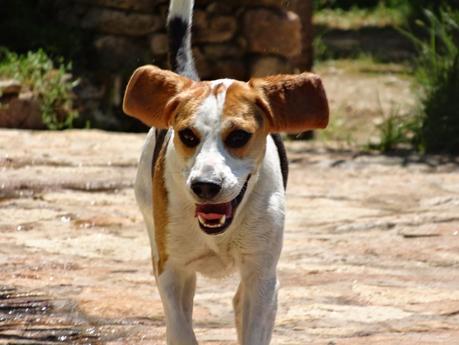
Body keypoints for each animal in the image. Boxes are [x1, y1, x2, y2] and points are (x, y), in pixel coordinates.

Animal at [123, 1, 330, 342]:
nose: (205, 186)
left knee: (239, 299)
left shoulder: (262, 276)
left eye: (239, 137)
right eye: (187, 135)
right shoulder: (172, 270)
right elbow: (181, 328)